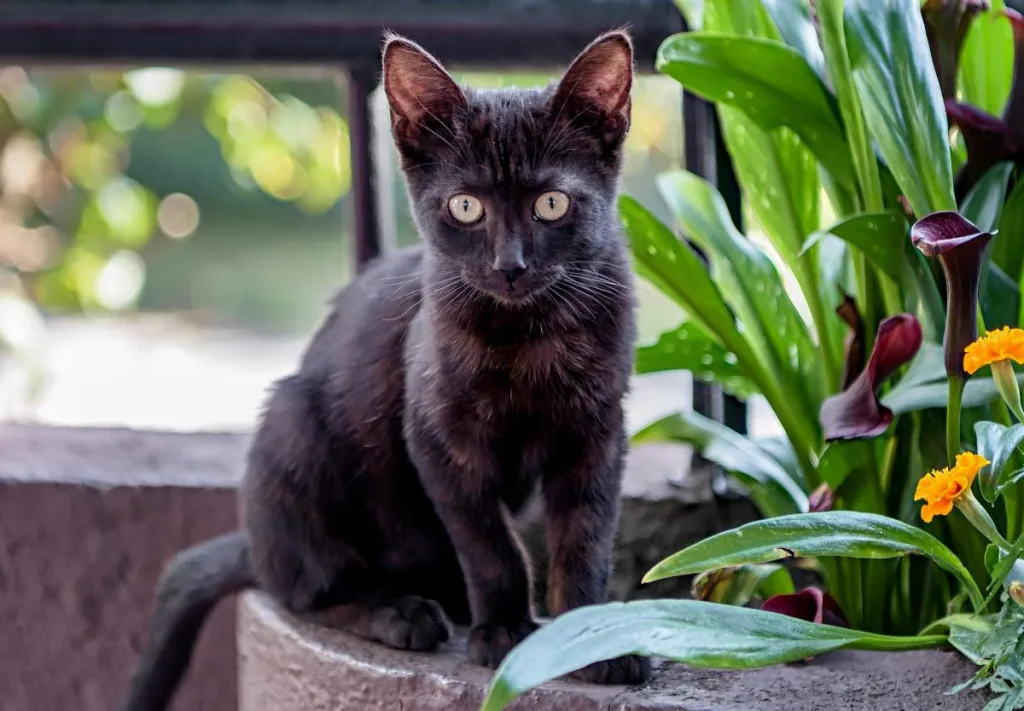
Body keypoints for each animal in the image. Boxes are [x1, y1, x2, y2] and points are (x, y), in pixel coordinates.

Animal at [117, 29, 647, 711]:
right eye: (466, 206)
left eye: (551, 204)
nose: (510, 266)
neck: (529, 337)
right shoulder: (438, 439)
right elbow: (488, 544)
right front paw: (504, 632)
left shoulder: (597, 434)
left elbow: (585, 539)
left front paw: (588, 639)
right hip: (293, 429)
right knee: (305, 589)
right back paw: (400, 612)